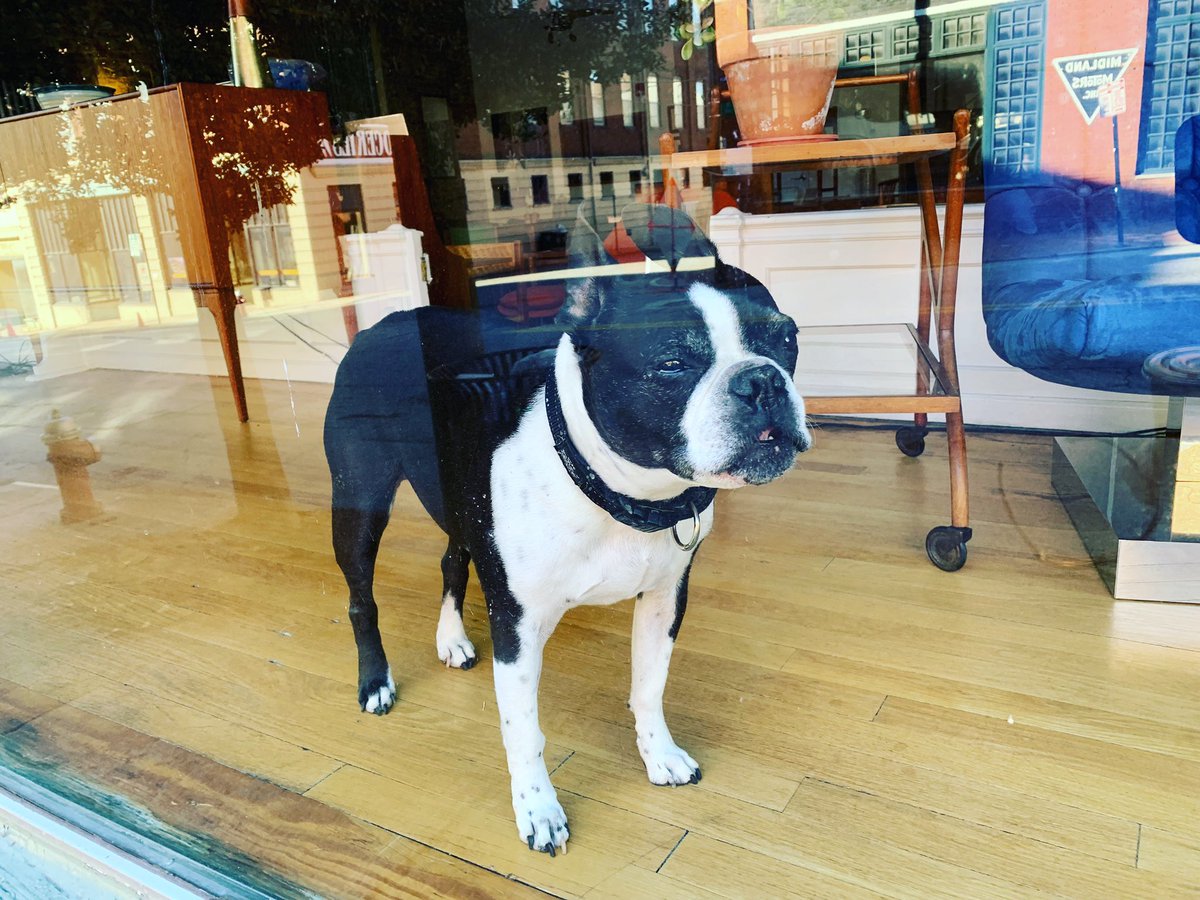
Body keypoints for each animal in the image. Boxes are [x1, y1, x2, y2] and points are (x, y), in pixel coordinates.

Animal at [324, 207, 811, 854]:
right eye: (672, 364)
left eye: (787, 339)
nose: (763, 381)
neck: (622, 493)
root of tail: (384, 324)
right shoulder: (518, 626)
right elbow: (524, 730)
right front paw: (538, 810)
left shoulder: (665, 599)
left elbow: (649, 685)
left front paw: (659, 754)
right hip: (359, 501)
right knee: (362, 598)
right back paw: (375, 680)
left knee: (453, 558)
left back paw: (451, 637)